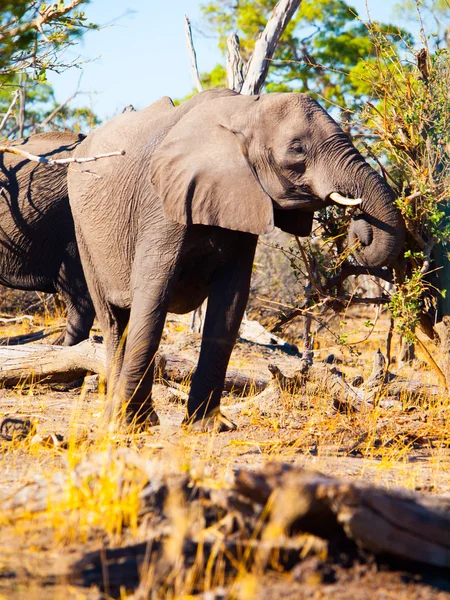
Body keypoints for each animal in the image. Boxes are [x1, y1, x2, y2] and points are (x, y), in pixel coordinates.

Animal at [67, 86, 408, 428]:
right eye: (297, 148)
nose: (359, 226)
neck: (243, 111)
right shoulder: (161, 203)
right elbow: (153, 293)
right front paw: (129, 426)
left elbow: (231, 302)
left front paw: (209, 426)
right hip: (82, 227)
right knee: (113, 320)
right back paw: (119, 418)